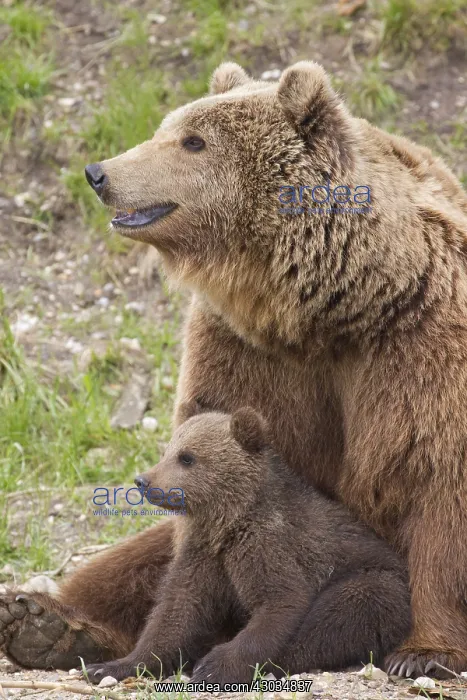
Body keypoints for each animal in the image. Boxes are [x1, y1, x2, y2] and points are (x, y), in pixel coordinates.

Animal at [82, 403, 411, 684]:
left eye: (187, 457)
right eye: (167, 452)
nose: (143, 480)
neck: (228, 521)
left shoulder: (265, 544)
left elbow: (280, 601)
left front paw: (216, 665)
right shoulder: (203, 554)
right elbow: (175, 611)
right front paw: (110, 666)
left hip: (379, 577)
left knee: (350, 606)